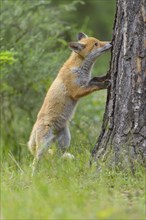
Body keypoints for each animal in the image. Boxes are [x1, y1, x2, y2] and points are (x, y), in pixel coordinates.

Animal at [28, 32, 111, 174]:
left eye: (98, 41)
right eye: (96, 44)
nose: (111, 42)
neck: (78, 69)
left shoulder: (86, 82)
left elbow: (95, 78)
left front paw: (106, 76)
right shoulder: (77, 91)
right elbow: (94, 86)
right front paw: (105, 84)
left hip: (64, 142)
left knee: (56, 158)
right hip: (43, 145)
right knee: (35, 161)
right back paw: (34, 175)